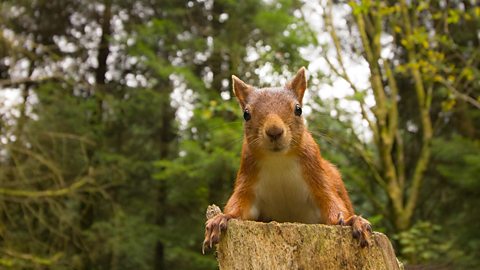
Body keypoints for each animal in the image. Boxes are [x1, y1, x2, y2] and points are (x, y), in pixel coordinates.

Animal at [202, 66, 372, 252]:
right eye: (246, 114)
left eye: (298, 109)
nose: (274, 131)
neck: (279, 160)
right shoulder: (247, 181)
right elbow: (239, 204)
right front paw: (222, 218)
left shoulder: (317, 176)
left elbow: (331, 201)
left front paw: (352, 221)